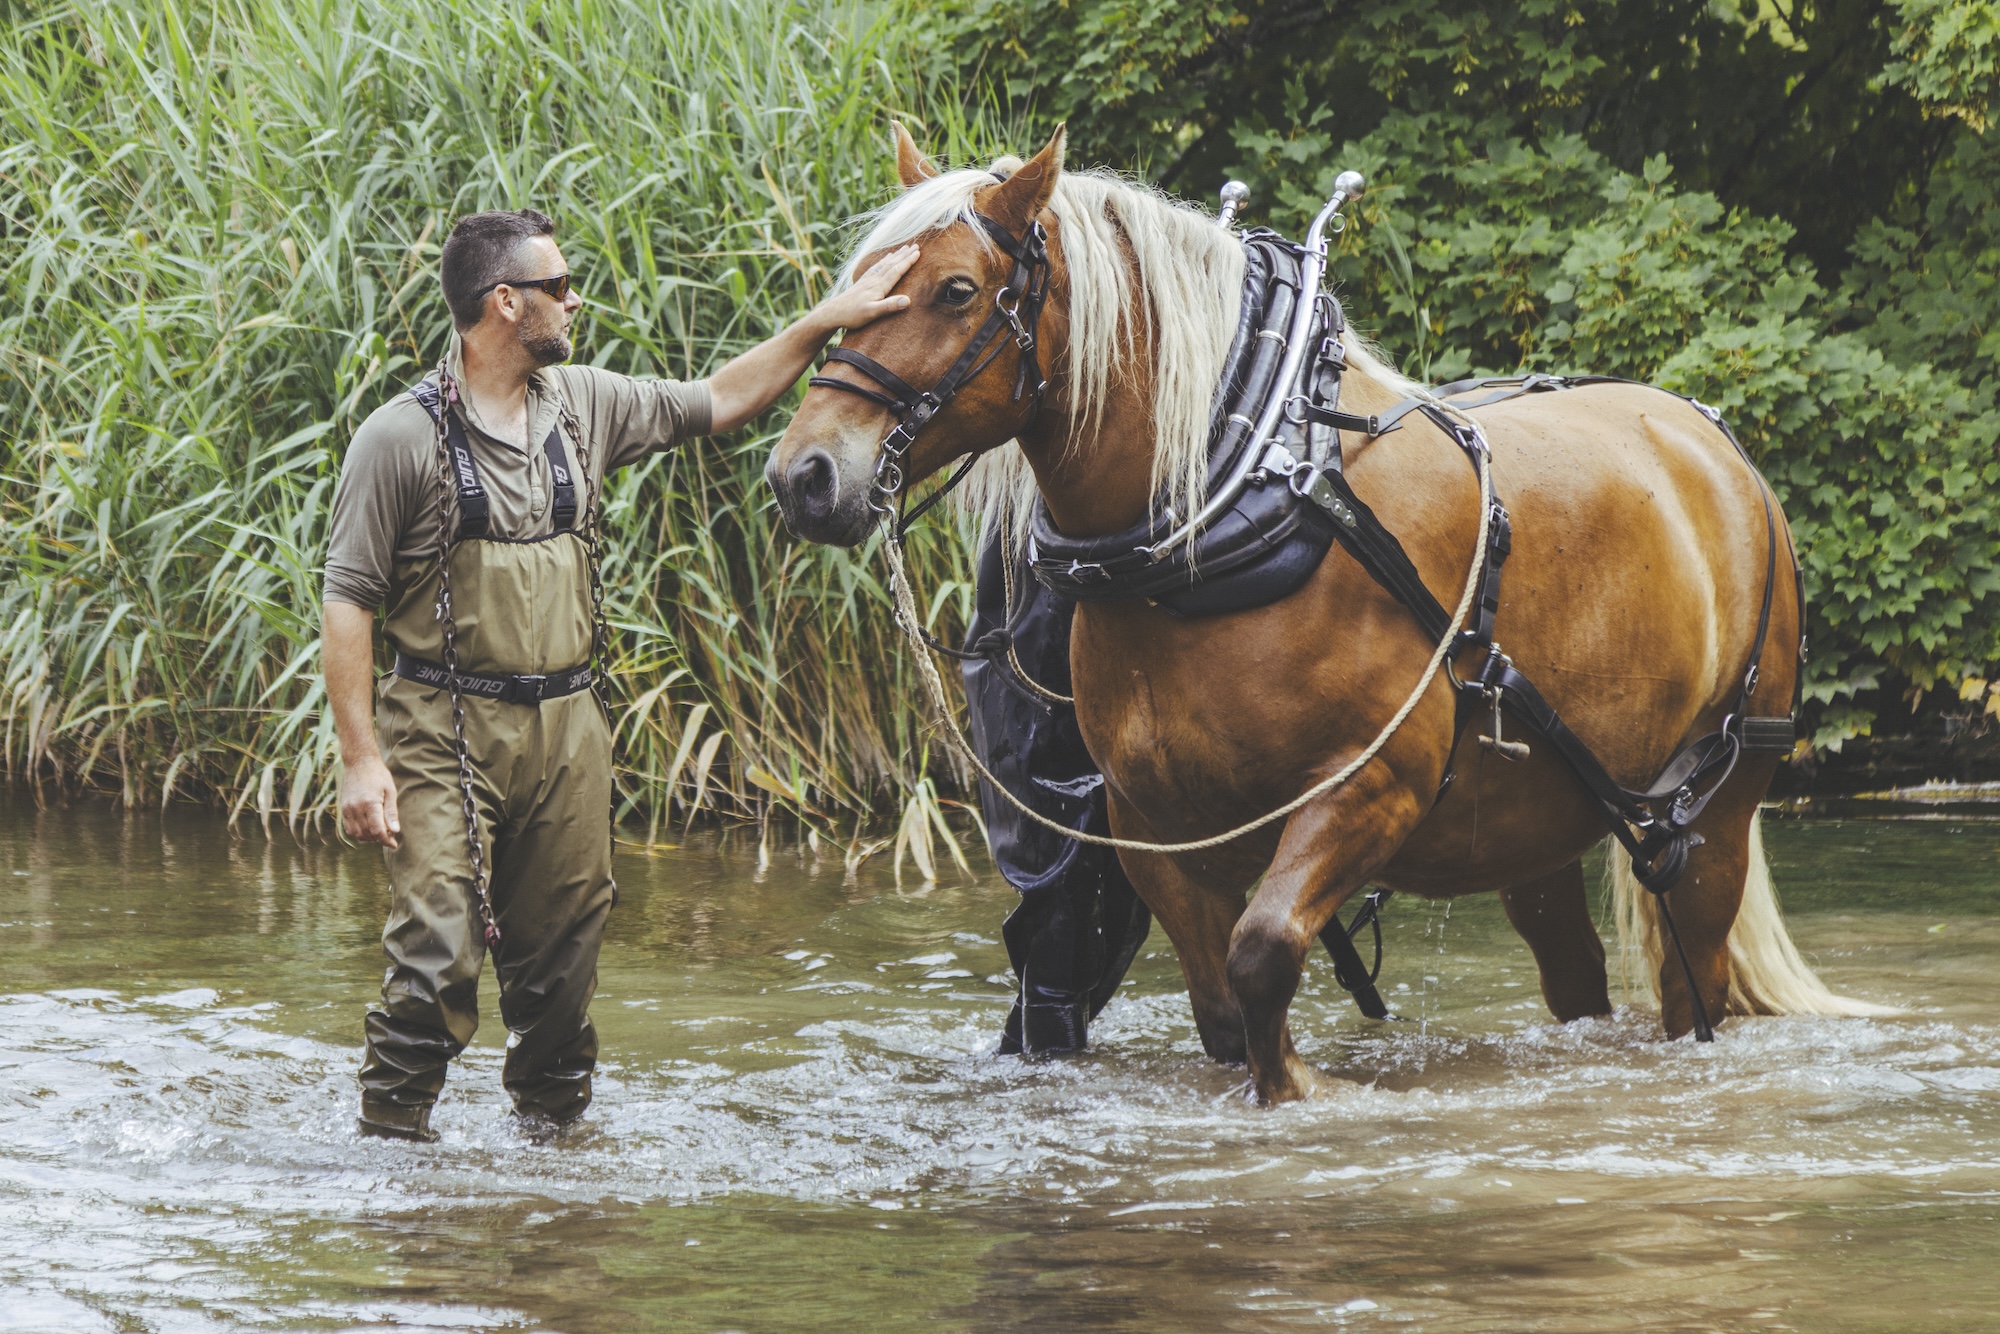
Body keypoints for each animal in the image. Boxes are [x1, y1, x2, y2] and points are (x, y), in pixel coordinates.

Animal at [768, 125, 1884, 1105]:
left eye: (957, 290)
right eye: (857, 285)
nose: (804, 476)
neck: (1240, 500)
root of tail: (1712, 441)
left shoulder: (1366, 788)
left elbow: (1262, 955)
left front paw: (1308, 1085)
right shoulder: (1154, 828)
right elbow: (1222, 1004)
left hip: (1716, 809)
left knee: (1693, 982)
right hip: (1538, 823)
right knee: (1571, 970)